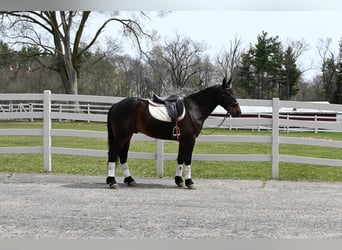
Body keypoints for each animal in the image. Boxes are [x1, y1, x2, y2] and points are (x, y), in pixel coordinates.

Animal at [106, 77, 240, 188]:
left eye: (233, 92)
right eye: (227, 93)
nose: (238, 111)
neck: (194, 109)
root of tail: (115, 105)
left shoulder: (183, 140)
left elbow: (180, 158)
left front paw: (179, 180)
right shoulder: (190, 139)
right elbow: (188, 158)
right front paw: (189, 182)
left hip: (127, 136)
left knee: (123, 156)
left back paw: (130, 180)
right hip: (122, 136)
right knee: (113, 154)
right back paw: (112, 181)